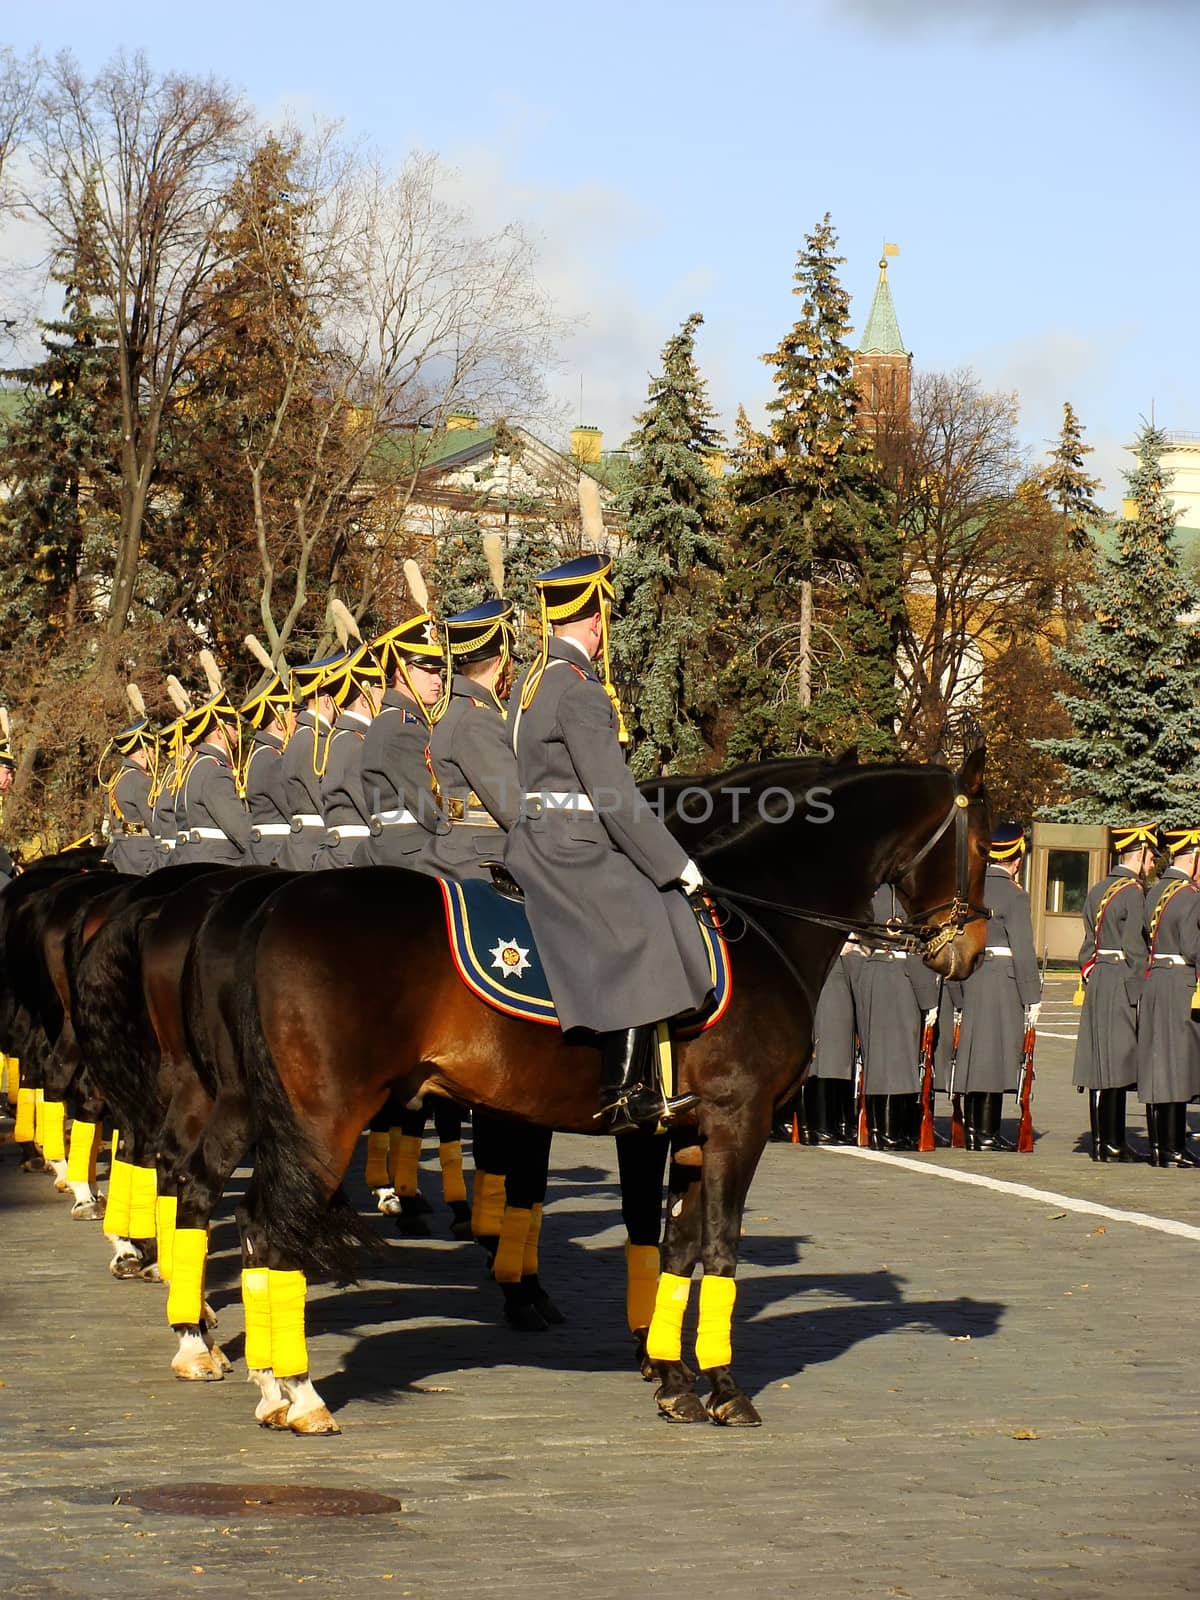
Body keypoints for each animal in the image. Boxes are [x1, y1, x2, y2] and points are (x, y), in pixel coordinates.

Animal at [227, 755, 998, 1433]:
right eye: (984, 843)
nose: (968, 953)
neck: (763, 922)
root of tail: (276, 903)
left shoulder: (686, 1133)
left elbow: (677, 1247)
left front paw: (674, 1378)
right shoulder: (737, 1122)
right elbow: (719, 1247)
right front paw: (725, 1389)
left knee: (260, 1224)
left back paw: (271, 1387)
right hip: (327, 1118)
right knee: (274, 1229)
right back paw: (300, 1393)